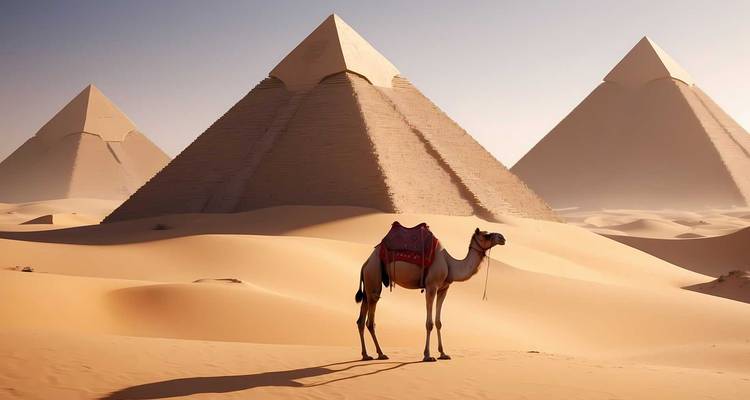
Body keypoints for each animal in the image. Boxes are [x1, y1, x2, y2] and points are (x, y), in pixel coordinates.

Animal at [355, 227, 506, 362]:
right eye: (486, 235)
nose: (502, 237)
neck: (449, 264)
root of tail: (365, 263)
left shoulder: (443, 289)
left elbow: (439, 322)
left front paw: (443, 353)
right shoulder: (431, 287)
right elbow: (429, 323)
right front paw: (427, 356)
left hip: (369, 284)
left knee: (361, 320)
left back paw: (366, 355)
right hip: (374, 276)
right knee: (370, 321)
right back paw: (381, 354)